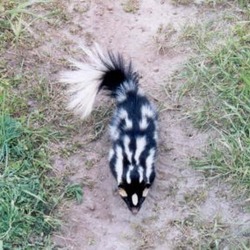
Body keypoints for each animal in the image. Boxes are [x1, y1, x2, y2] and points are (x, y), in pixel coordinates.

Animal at [60, 44, 157, 213]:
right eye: (126, 198)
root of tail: (129, 93)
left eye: (141, 198)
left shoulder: (148, 162)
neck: (133, 163)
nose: (134, 211)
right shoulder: (117, 157)